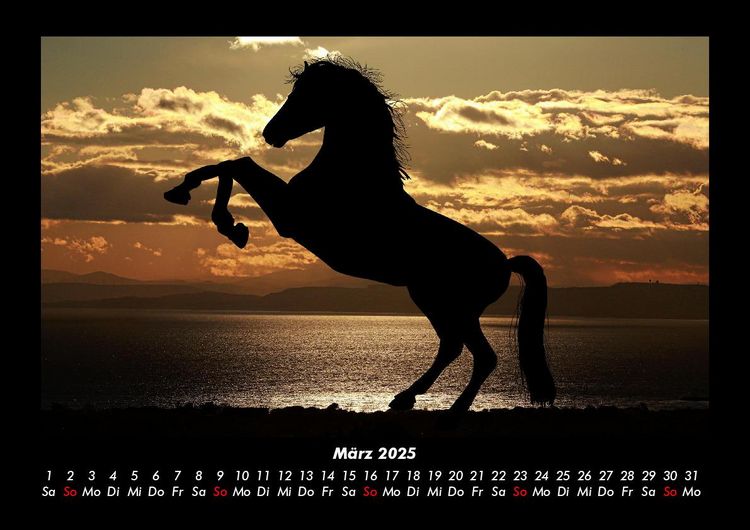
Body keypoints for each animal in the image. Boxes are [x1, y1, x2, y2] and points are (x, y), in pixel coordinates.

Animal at [164, 57, 556, 412]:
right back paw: (405, 398)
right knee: (453, 347)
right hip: (438, 303)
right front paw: (187, 195)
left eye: (306, 94)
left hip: (447, 304)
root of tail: (505, 264)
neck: (352, 176)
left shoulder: (290, 216)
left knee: (479, 354)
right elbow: (231, 164)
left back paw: (450, 408)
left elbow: (237, 165)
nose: (270, 134)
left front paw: (227, 223)